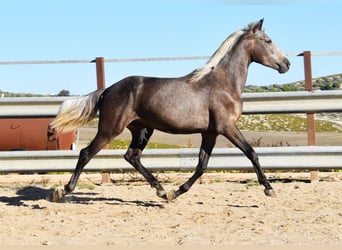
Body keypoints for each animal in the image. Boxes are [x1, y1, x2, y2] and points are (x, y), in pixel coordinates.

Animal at [50, 20, 290, 203]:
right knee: (86, 153)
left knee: (132, 156)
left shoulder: (210, 132)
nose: (286, 64)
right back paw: (62, 191)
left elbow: (202, 165)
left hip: (142, 129)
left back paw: (161, 190)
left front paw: (175, 192)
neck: (223, 83)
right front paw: (269, 188)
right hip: (110, 129)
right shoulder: (227, 127)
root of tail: (108, 90)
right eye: (268, 40)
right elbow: (251, 153)